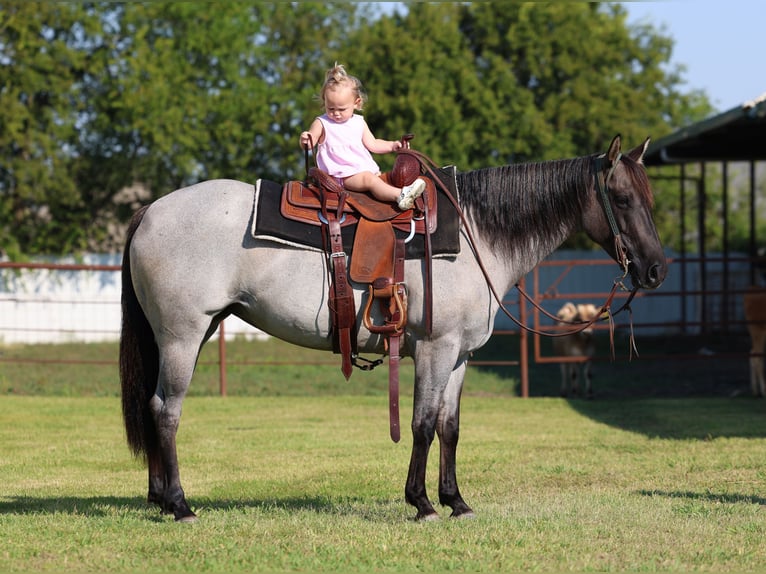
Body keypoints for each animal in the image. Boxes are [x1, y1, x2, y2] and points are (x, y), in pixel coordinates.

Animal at [120, 135, 667, 522]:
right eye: (621, 198)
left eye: (649, 197)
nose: (656, 270)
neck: (477, 233)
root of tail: (151, 210)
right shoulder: (434, 348)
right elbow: (422, 424)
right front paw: (421, 503)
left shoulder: (460, 356)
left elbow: (449, 427)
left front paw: (455, 501)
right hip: (182, 336)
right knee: (165, 410)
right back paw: (180, 505)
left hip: (187, 334)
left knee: (152, 406)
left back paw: (160, 499)